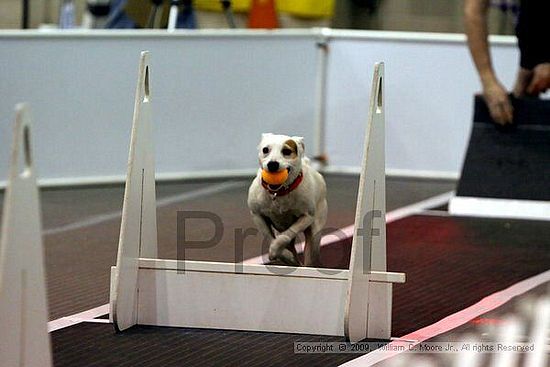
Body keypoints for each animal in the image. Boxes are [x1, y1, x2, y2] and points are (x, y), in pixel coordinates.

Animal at [249, 134, 328, 266]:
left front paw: (276, 249)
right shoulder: (257, 215)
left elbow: (287, 234)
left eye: (286, 151)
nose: (272, 164)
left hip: (315, 235)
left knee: (309, 255)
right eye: (265, 150)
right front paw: (284, 254)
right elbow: (268, 236)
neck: (279, 193)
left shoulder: (306, 217)